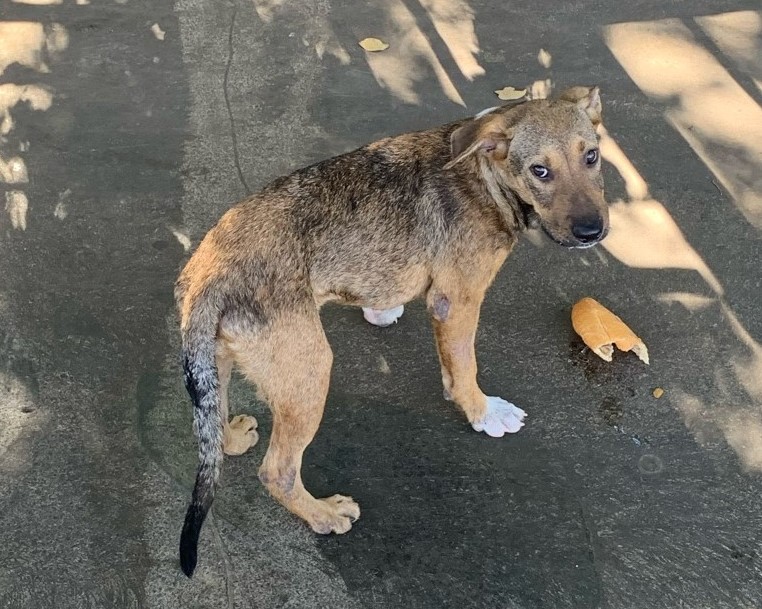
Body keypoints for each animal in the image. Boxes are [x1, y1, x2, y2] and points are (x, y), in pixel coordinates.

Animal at [177, 85, 604, 576]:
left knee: (213, 425)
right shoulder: (457, 301)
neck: (482, 173)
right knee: (277, 471)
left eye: (592, 156)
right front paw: (483, 413)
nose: (593, 232)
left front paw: (383, 309)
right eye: (540, 170)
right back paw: (323, 514)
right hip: (310, 372)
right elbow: (464, 368)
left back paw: (231, 438)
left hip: (222, 361)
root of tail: (207, 274)